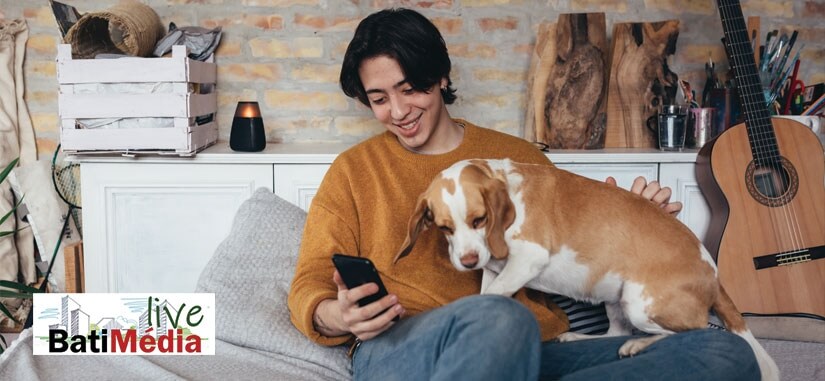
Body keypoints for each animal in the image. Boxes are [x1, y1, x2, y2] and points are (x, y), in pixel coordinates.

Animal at [392, 158, 780, 380]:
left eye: (479, 219)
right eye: (443, 227)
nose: (468, 261)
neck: (504, 182)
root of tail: (713, 274)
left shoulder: (528, 258)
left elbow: (497, 294)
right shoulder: (494, 267)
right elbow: (487, 292)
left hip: (639, 303)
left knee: (696, 331)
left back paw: (639, 346)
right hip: (615, 296)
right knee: (615, 332)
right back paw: (579, 337)